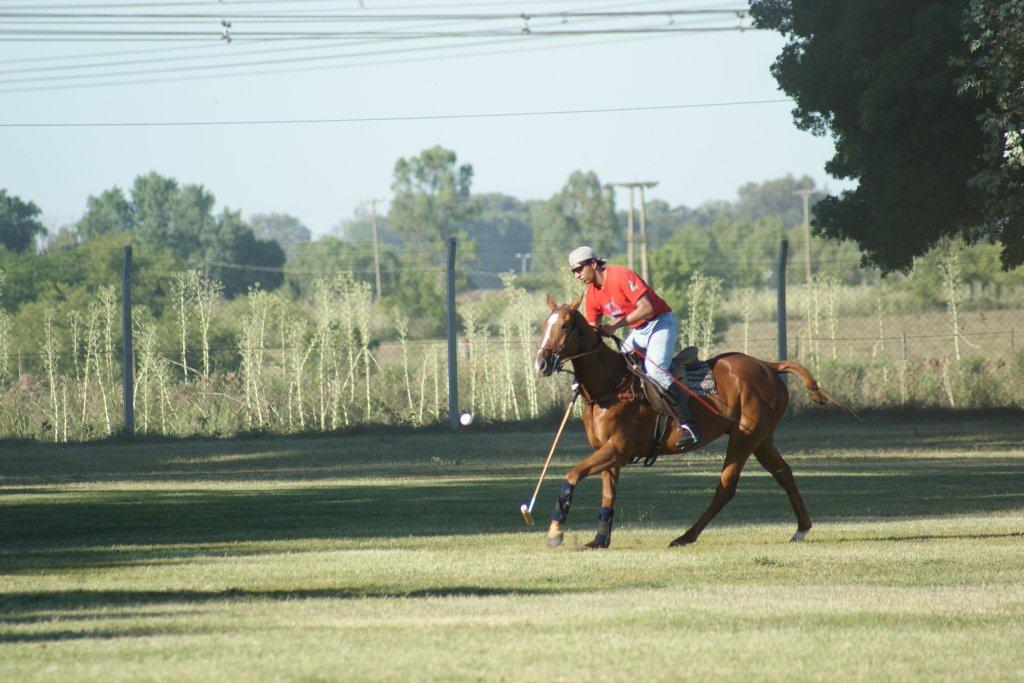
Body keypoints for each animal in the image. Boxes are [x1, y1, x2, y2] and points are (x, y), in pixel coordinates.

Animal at [533, 294, 829, 549]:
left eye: (565, 325)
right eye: (544, 325)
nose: (541, 364)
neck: (610, 384)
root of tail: (768, 366)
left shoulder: (618, 448)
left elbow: (572, 474)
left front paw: (555, 532)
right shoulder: (607, 451)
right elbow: (608, 494)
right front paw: (599, 540)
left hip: (745, 436)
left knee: (726, 487)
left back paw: (685, 537)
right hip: (762, 438)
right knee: (783, 473)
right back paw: (802, 529)